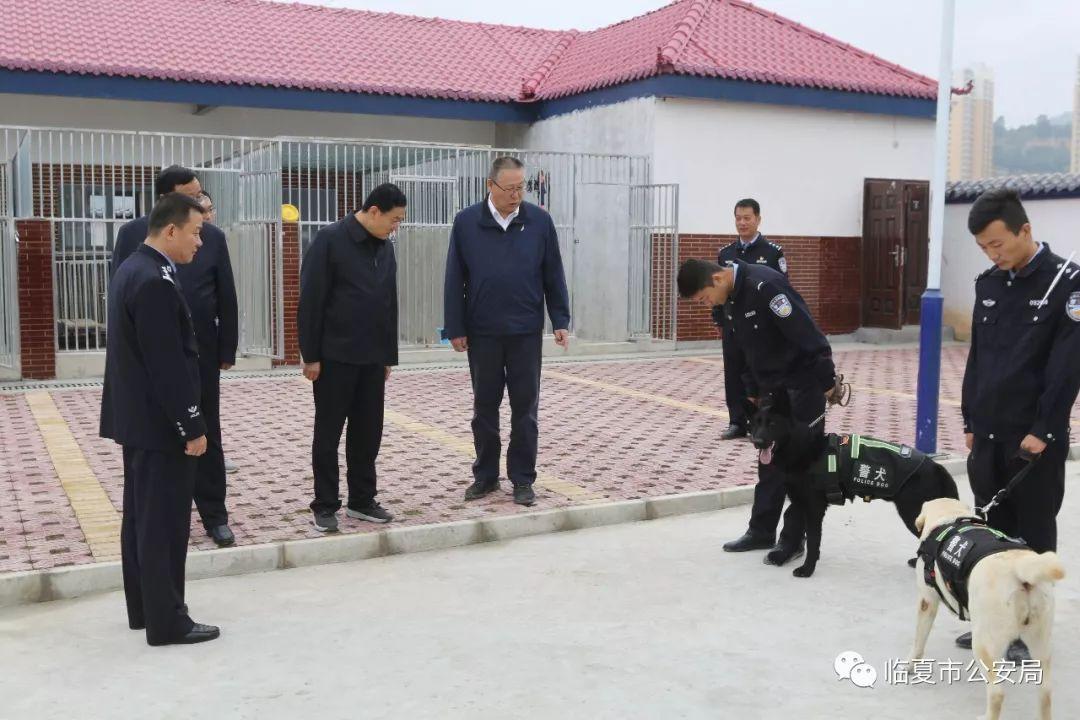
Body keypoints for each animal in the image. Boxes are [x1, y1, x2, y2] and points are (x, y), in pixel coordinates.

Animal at [747, 390, 959, 578]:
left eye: (772, 423)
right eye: (755, 424)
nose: (757, 441)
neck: (801, 448)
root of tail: (936, 466)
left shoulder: (814, 508)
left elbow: (813, 541)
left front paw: (807, 570)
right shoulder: (800, 503)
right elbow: (795, 529)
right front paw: (783, 556)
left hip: (913, 513)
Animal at [911, 500, 1062, 720]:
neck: (950, 517)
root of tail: (1019, 568)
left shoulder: (927, 601)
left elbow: (918, 643)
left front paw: (909, 666)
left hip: (984, 644)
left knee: (997, 693)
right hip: (1040, 640)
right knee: (1046, 692)